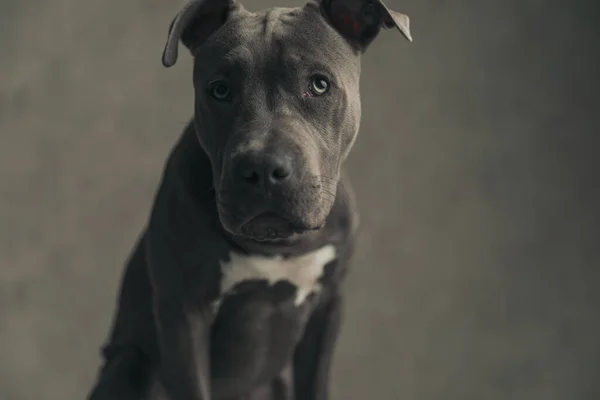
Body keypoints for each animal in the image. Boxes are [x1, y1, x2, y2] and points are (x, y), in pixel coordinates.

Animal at [86, 0, 410, 398]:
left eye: (319, 85)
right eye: (220, 90)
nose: (263, 168)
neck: (277, 246)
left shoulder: (328, 307)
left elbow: (316, 381)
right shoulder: (183, 315)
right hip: (128, 365)